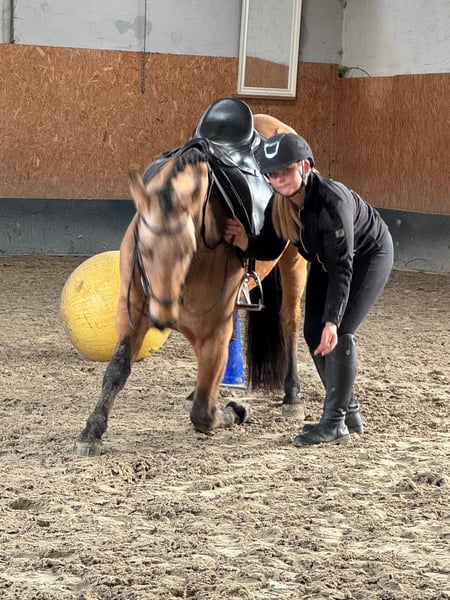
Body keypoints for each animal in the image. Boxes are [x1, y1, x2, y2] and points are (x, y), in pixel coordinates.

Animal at [73, 100, 308, 456]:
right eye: (144, 247)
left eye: (188, 250)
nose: (161, 315)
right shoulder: (131, 312)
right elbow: (116, 369)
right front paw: (92, 430)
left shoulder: (213, 328)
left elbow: (203, 414)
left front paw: (235, 410)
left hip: (294, 262)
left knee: (289, 321)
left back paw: (291, 395)